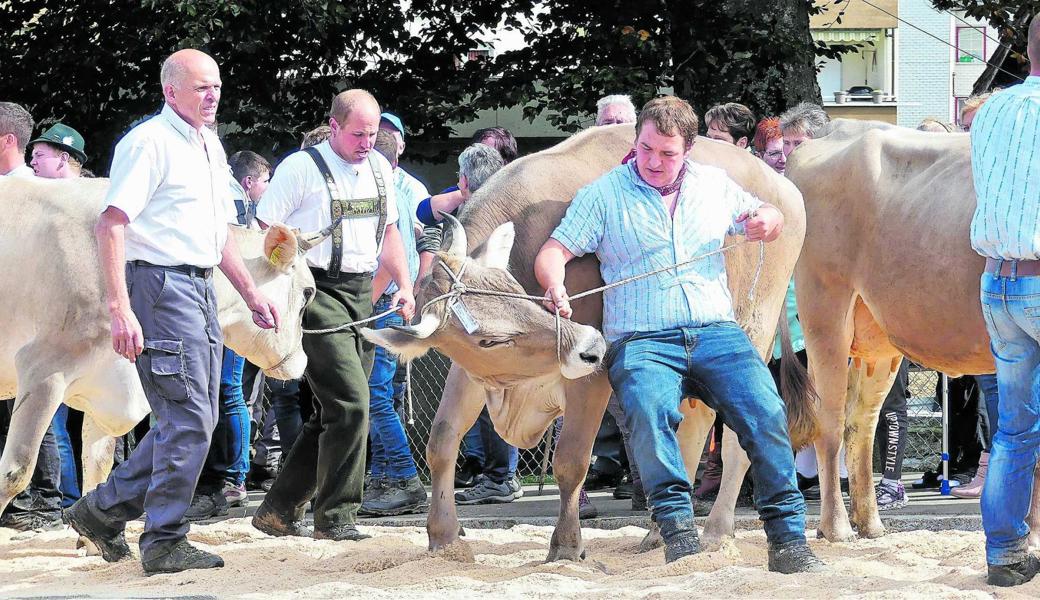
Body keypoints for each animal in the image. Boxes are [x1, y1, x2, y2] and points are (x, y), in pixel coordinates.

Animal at [0, 175, 322, 517]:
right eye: (307, 293)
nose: (302, 362)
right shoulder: (44, 369)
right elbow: (15, 472)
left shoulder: (109, 388)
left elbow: (99, 467)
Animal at [786, 119, 1040, 544]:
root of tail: (839, 127)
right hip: (825, 310)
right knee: (831, 422)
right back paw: (837, 527)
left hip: (877, 340)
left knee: (861, 422)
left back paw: (870, 523)